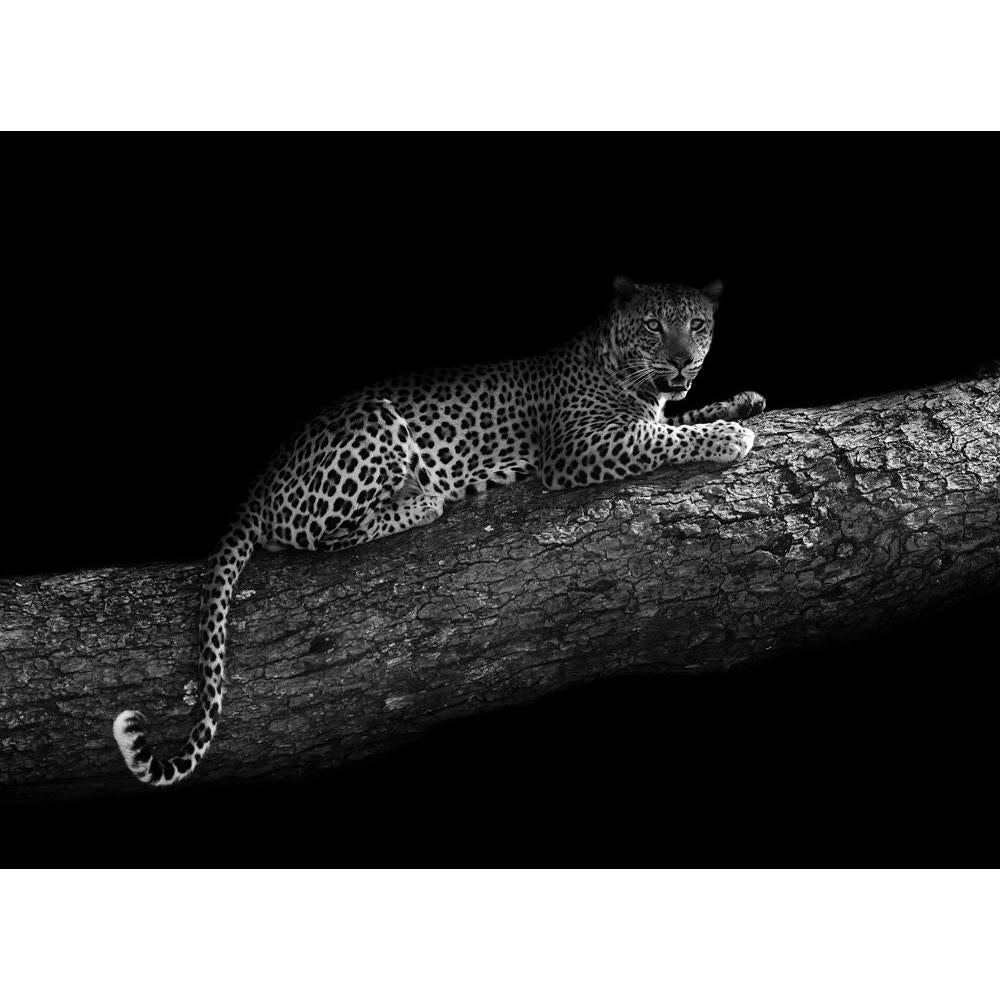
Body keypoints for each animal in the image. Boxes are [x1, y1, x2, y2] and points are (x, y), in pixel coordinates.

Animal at [113, 276, 766, 786]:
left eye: (698, 325)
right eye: (654, 326)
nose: (682, 360)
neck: (623, 365)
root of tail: (254, 489)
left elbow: (675, 418)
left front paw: (743, 401)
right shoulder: (578, 448)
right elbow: (662, 437)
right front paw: (728, 437)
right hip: (374, 425)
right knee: (327, 534)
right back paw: (424, 499)